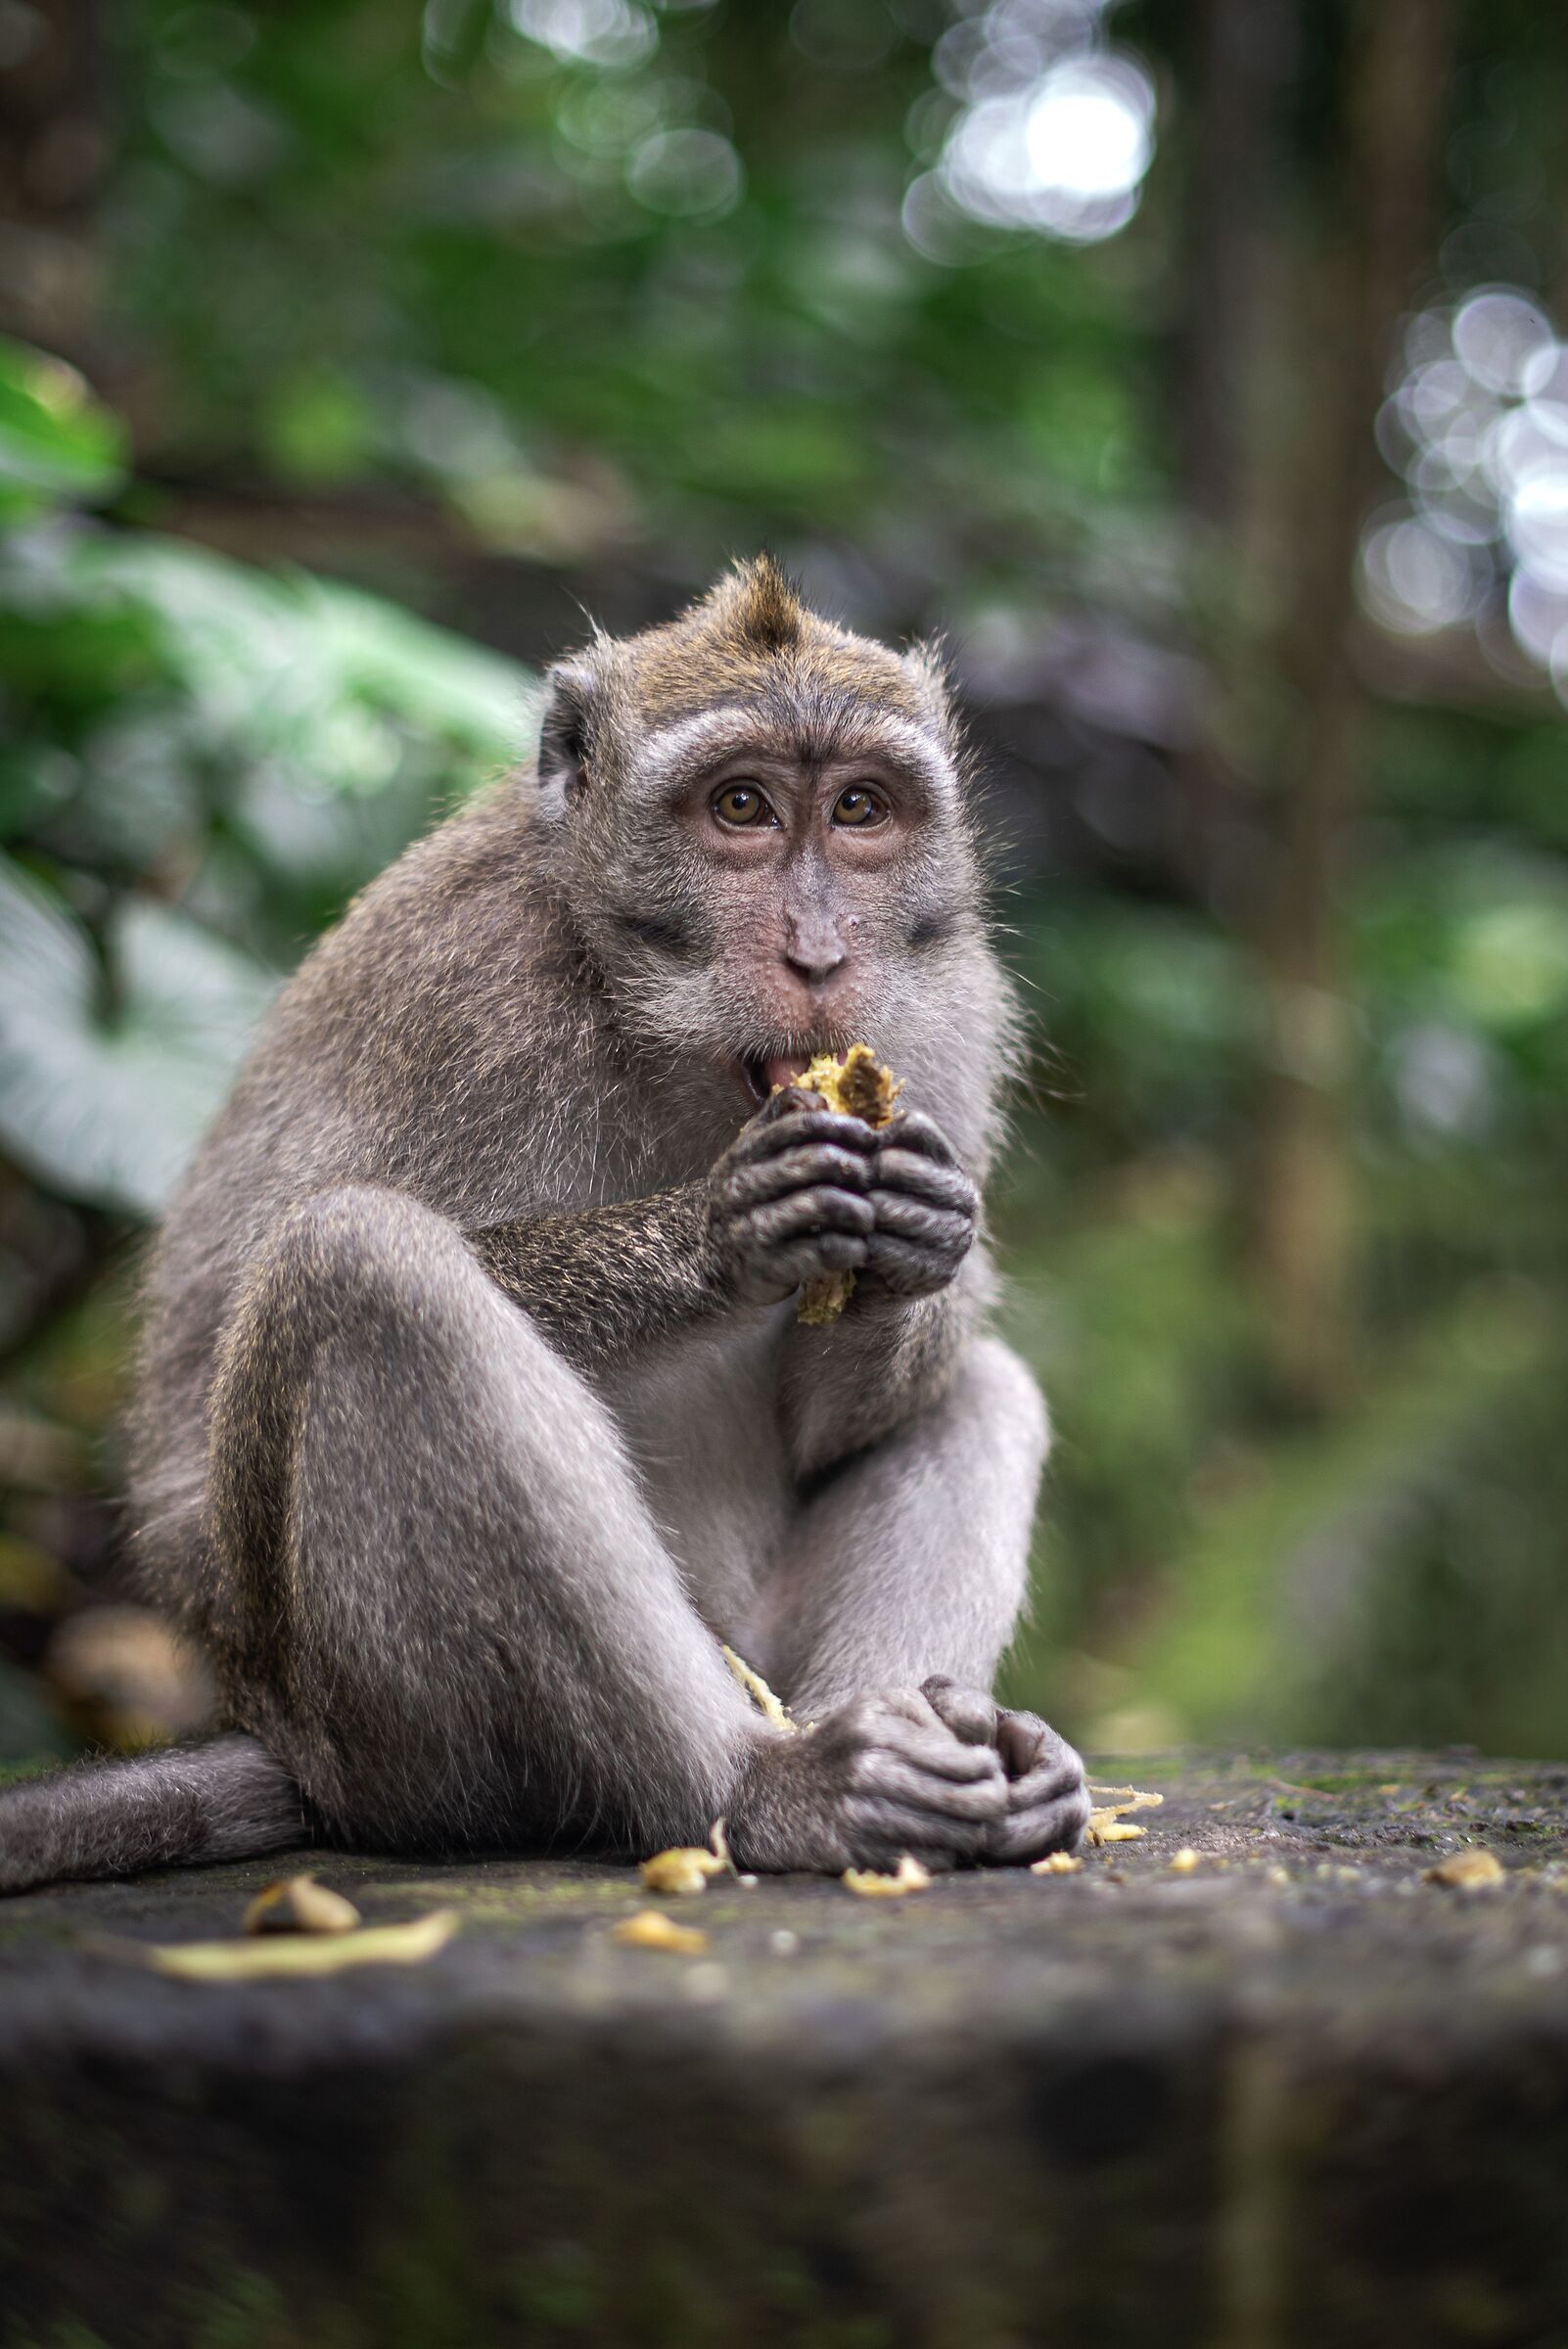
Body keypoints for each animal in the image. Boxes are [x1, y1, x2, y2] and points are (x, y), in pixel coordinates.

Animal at [0, 554, 1088, 1888]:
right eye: (740, 807)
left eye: (861, 810)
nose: (821, 952)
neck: (653, 1021)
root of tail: (284, 1740)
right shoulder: (469, 995)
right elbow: (253, 1313)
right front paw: (721, 1233)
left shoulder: (951, 1007)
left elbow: (842, 1419)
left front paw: (924, 1235)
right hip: (378, 1724)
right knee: (364, 1270)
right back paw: (772, 1789)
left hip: (756, 1642)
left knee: (986, 1389)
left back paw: (943, 1748)